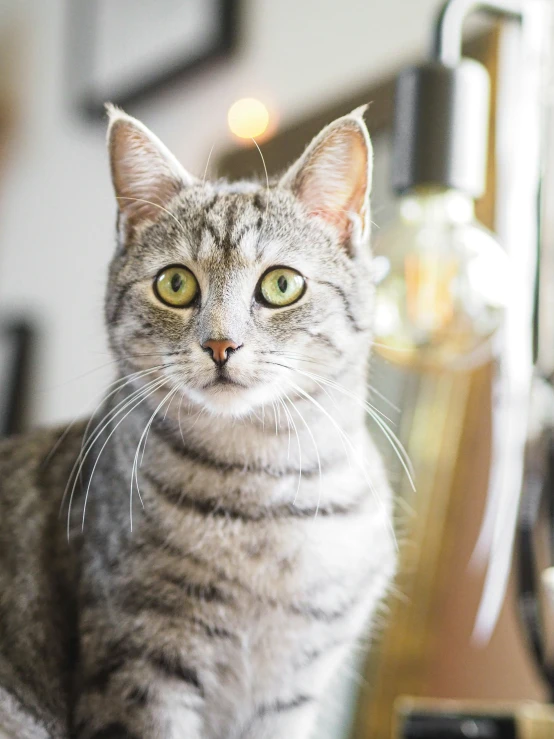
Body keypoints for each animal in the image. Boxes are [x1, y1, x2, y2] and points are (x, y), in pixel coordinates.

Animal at [0, 105, 396, 739]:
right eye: (175, 283)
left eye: (281, 284)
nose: (220, 344)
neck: (269, 486)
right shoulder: (139, 663)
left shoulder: (291, 690)